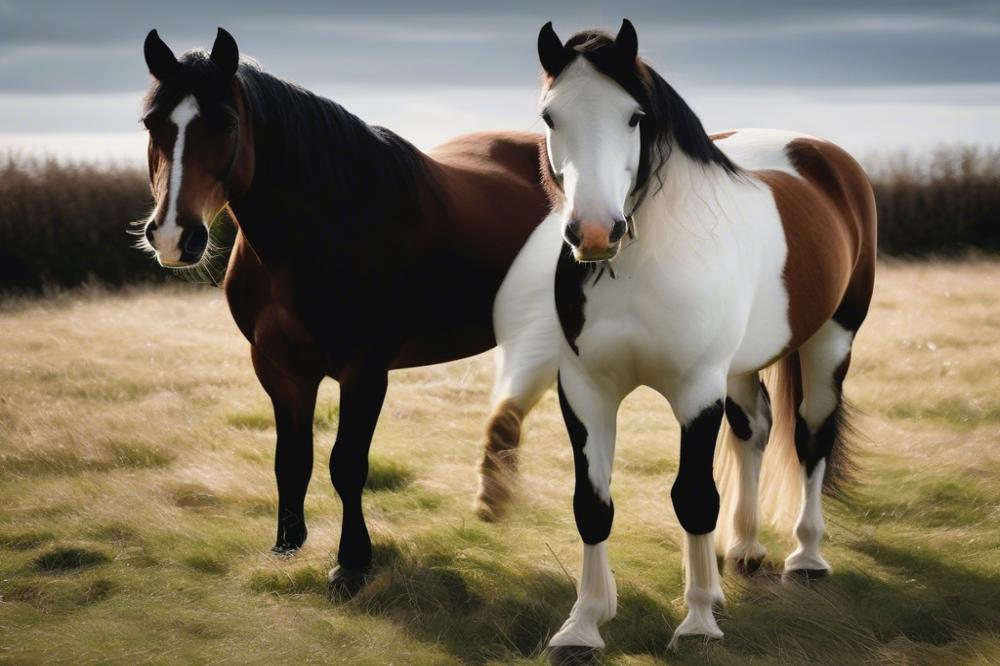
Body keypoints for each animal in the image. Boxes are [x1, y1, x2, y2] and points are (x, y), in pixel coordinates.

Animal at [137, 28, 552, 592]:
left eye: (225, 123)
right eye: (152, 124)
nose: (174, 237)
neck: (324, 227)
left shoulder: (365, 371)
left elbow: (347, 464)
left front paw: (352, 564)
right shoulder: (279, 369)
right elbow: (291, 460)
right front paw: (287, 544)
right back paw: (494, 498)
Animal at [492, 19, 876, 652]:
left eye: (634, 116)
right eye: (551, 116)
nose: (594, 232)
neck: (643, 265)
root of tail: (825, 158)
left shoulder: (697, 391)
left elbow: (694, 498)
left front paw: (696, 623)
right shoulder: (586, 391)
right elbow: (592, 504)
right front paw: (584, 624)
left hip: (830, 342)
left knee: (809, 436)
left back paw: (806, 558)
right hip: (741, 367)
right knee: (754, 432)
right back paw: (744, 549)